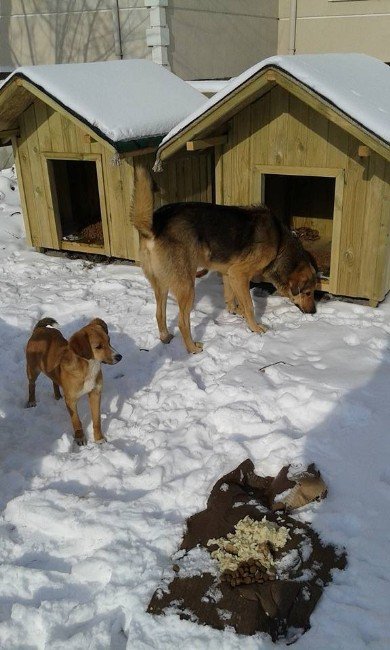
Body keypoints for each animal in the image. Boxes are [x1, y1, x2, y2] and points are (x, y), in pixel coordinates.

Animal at [25, 316, 121, 446]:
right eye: (98, 347)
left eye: (109, 341)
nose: (119, 357)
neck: (88, 366)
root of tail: (39, 329)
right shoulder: (71, 400)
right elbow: (76, 421)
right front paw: (80, 438)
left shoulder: (95, 393)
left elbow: (97, 420)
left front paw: (99, 438)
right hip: (32, 369)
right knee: (31, 385)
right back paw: (31, 401)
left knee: (54, 380)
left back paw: (57, 395)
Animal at [133, 165, 316, 352]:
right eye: (308, 292)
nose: (313, 312)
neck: (279, 243)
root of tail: (155, 225)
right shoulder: (239, 274)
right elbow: (249, 306)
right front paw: (255, 328)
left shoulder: (229, 274)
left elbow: (232, 298)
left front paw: (236, 311)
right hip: (187, 286)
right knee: (182, 322)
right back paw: (192, 348)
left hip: (161, 285)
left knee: (159, 314)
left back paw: (165, 337)